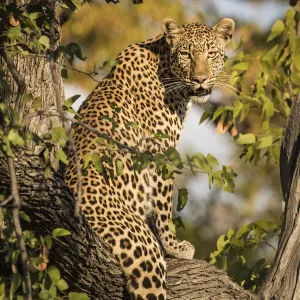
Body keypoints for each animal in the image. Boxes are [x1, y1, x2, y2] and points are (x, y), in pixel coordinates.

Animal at [65, 17, 234, 298]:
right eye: (186, 54)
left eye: (211, 54)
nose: (200, 79)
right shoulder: (160, 152)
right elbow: (164, 206)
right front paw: (174, 246)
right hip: (141, 248)